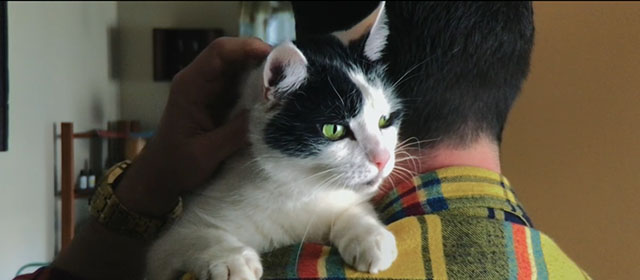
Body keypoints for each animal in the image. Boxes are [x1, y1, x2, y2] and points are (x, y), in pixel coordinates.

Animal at [148, 2, 402, 280]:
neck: (299, 188)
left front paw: (370, 236)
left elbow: (351, 209)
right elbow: (186, 239)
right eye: (333, 130)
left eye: (384, 120)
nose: (382, 159)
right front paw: (232, 260)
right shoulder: (168, 245)